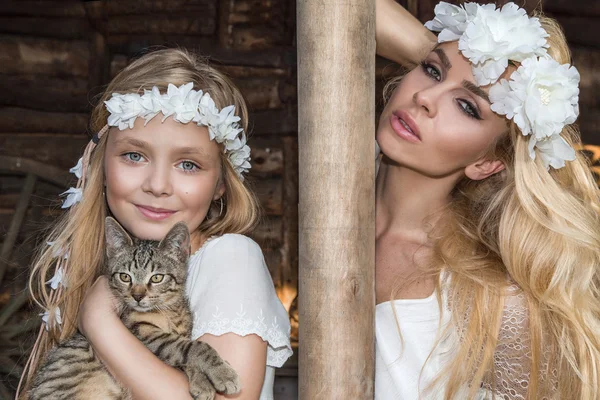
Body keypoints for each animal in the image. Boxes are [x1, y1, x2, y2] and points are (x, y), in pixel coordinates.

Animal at [29, 219, 241, 400]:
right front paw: (222, 373)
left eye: (157, 278)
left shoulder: (180, 331)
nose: (137, 296)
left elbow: (186, 349)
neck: (169, 311)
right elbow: (190, 347)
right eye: (125, 277)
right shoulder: (144, 332)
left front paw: (201, 380)